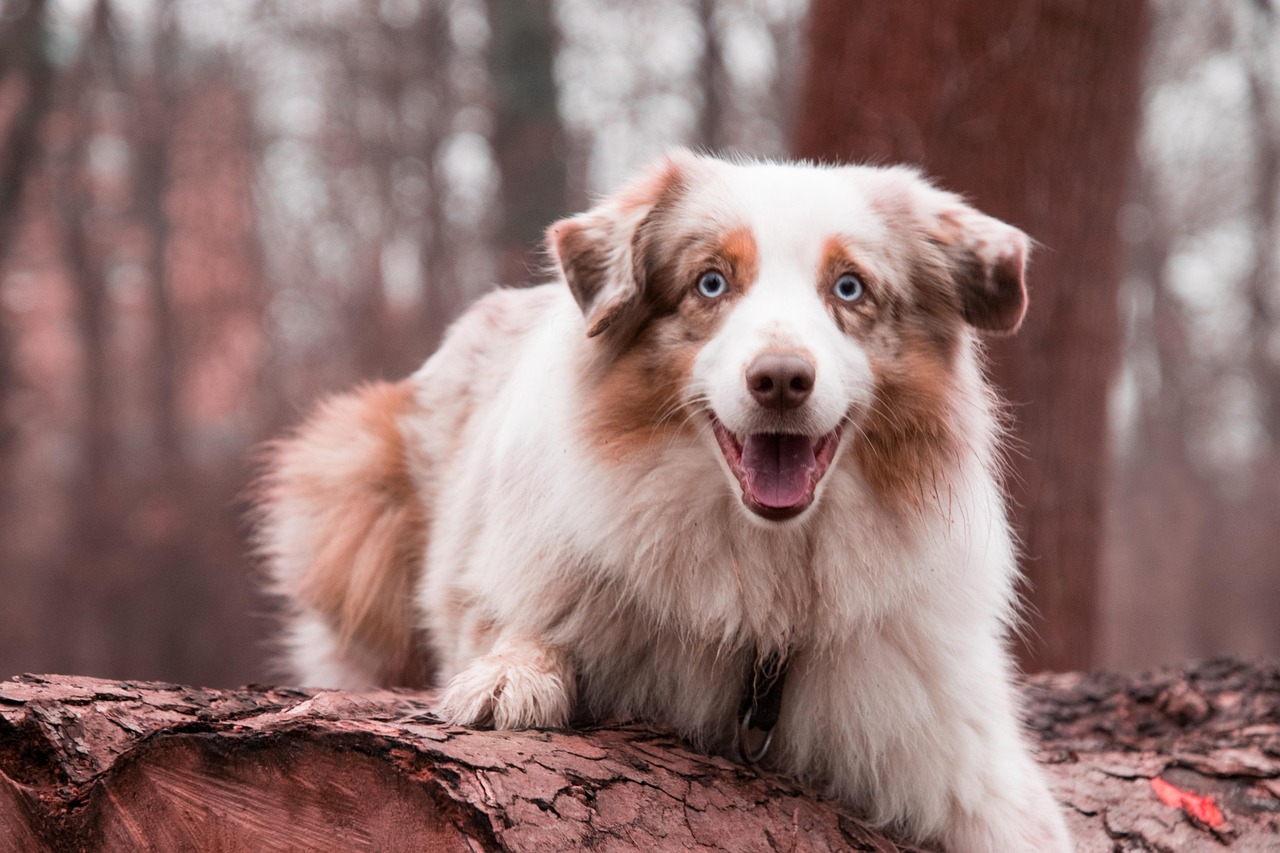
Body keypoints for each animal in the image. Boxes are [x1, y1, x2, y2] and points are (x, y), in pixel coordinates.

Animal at [249, 149, 1070, 845]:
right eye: (711, 282)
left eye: (849, 287)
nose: (780, 379)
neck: (765, 577)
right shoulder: (512, 576)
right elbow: (523, 624)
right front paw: (510, 676)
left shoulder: (967, 765)